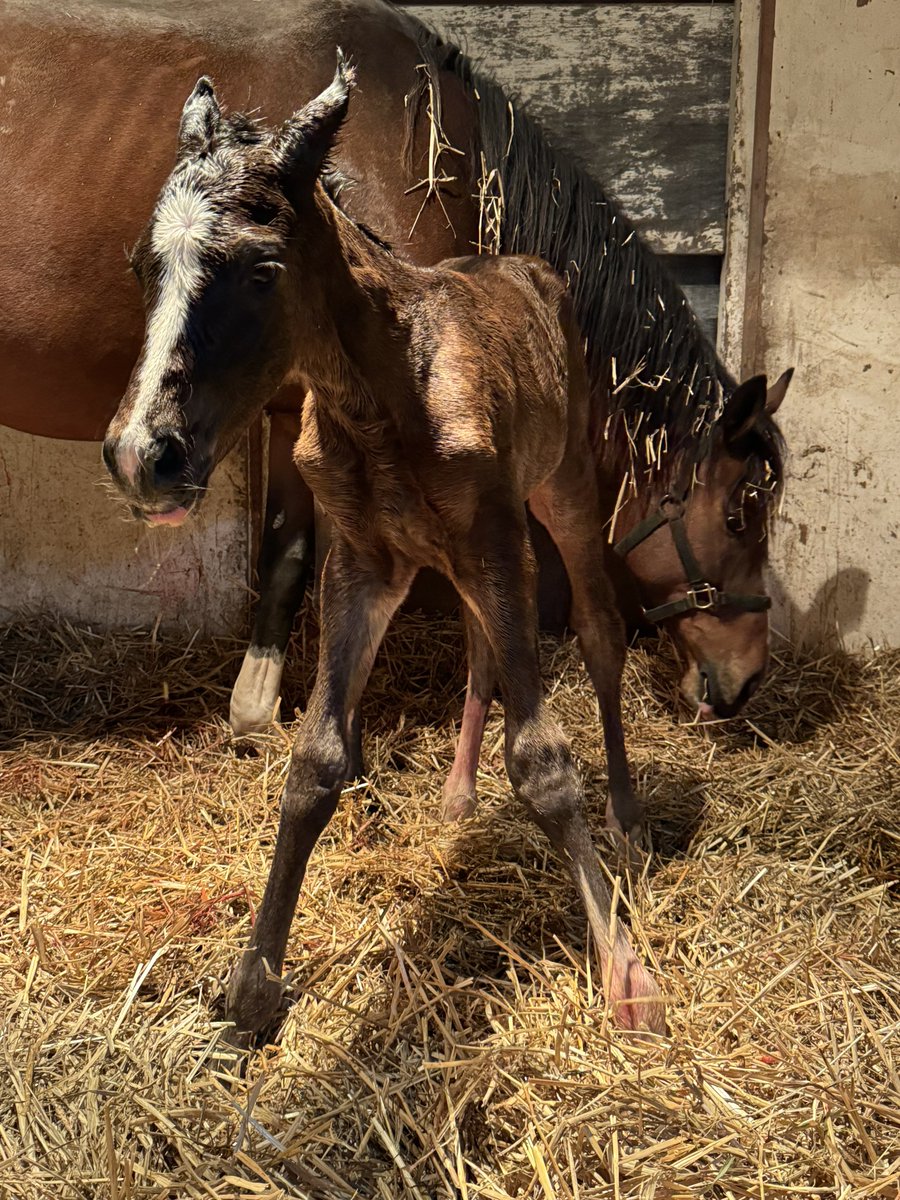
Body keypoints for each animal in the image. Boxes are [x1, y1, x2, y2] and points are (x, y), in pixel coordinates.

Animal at [111, 54, 662, 1032]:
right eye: (146, 265)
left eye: (261, 269)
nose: (143, 456)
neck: (385, 396)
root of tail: (531, 267)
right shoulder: (365, 563)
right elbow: (315, 760)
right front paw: (252, 985)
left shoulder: (495, 542)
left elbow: (545, 761)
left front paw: (625, 973)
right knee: (483, 650)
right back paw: (459, 799)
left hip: (560, 496)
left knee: (599, 630)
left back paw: (629, 816)